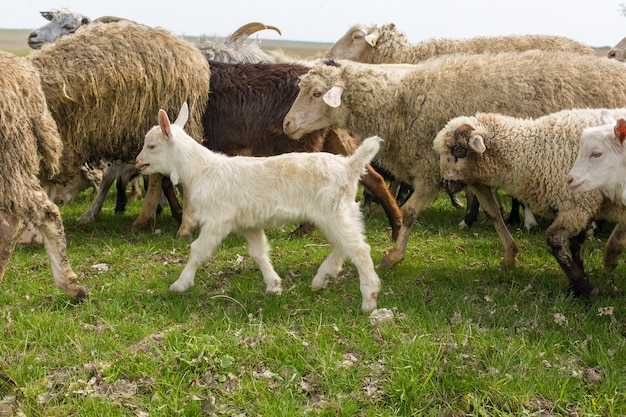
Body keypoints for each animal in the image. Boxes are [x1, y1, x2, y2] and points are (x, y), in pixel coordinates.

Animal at [282, 52, 626, 268]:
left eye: (316, 93)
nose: (286, 124)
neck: (399, 103)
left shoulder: (432, 169)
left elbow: (409, 212)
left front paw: (393, 257)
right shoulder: (474, 168)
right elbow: (492, 210)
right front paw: (510, 254)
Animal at [432, 108, 626, 300]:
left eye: (458, 150)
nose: (444, 184)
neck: (532, 154)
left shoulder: (577, 206)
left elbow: (555, 242)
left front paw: (585, 287)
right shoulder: (579, 207)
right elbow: (576, 247)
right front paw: (576, 287)